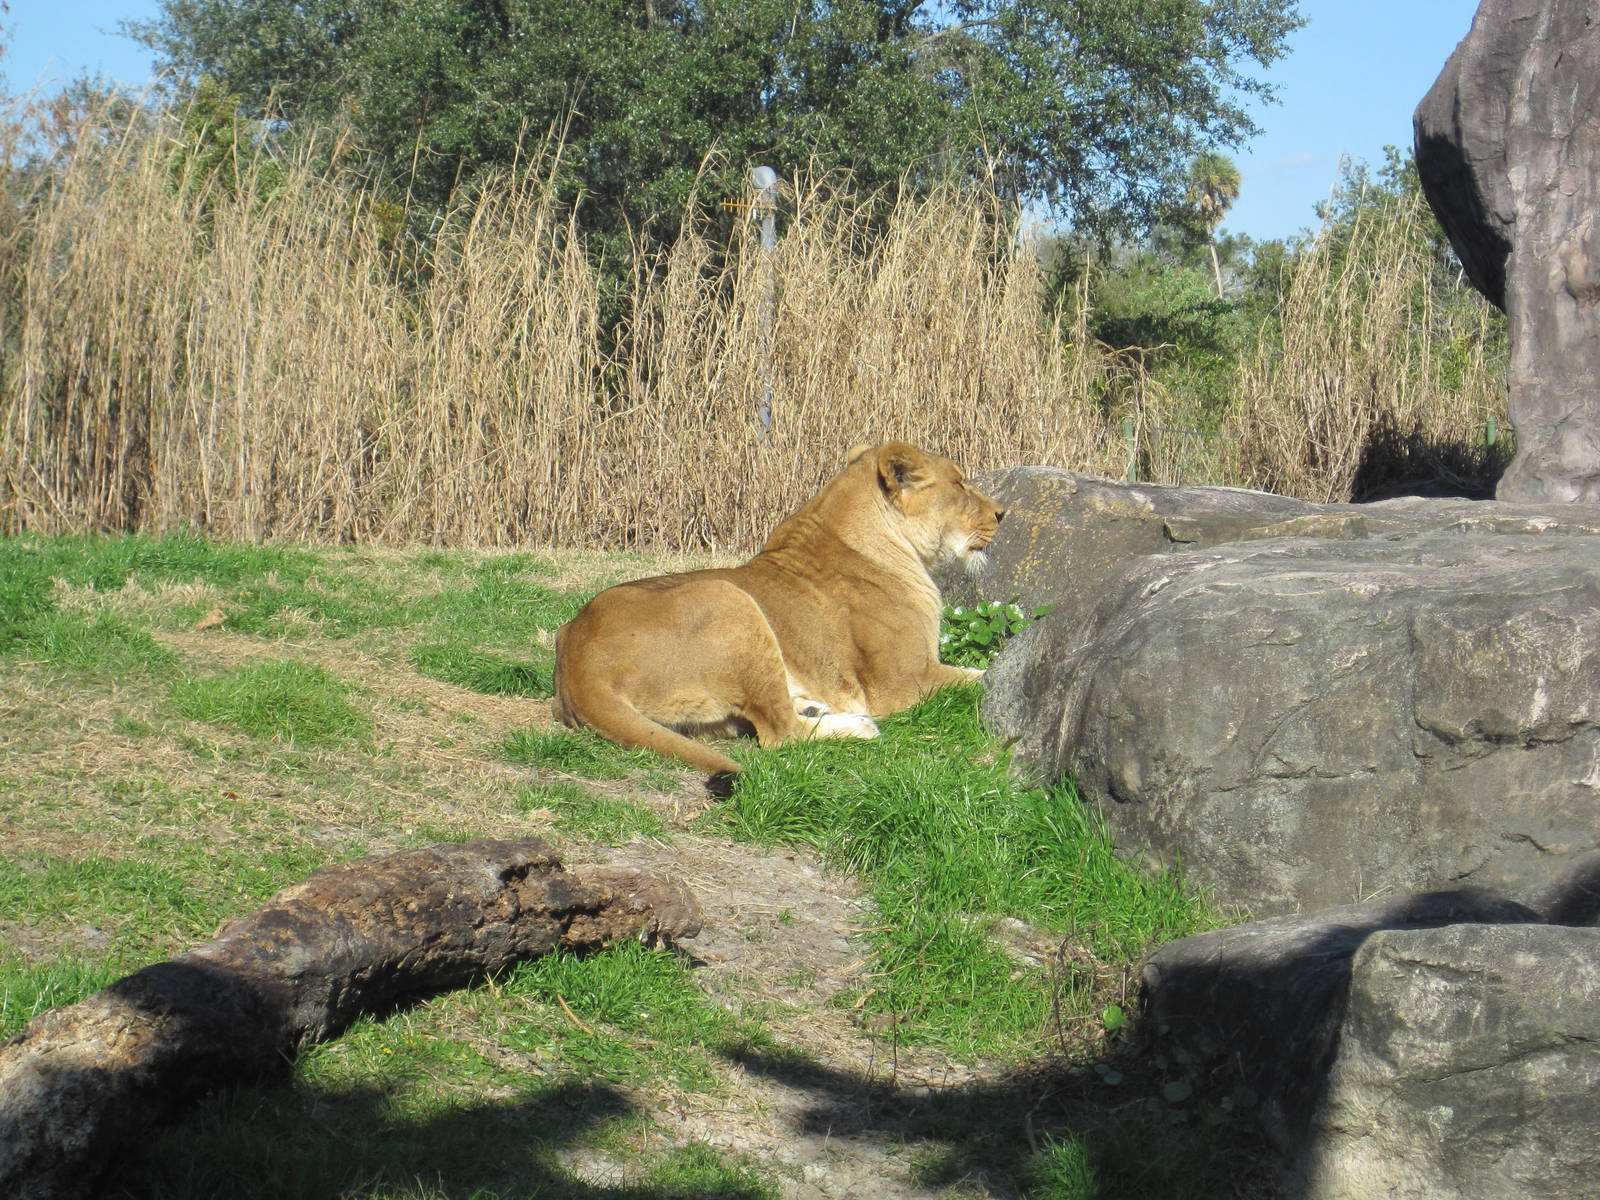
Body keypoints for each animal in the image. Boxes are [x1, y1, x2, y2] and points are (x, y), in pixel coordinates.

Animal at [551, 442, 1006, 783]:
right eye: (961, 484)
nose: (1003, 514)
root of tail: (576, 660)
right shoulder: (902, 683)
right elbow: (983, 677)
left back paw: (816, 707)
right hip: (730, 599)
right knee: (780, 733)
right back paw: (857, 725)